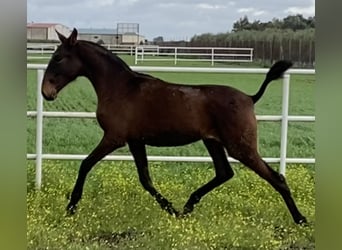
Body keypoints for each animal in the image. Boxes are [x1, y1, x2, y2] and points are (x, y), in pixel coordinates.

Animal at [41, 28, 306, 225]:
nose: (46, 92)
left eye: (58, 57)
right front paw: (171, 209)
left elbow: (85, 164)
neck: (120, 88)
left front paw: (71, 207)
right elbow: (145, 179)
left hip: (241, 147)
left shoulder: (114, 138)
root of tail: (250, 98)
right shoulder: (135, 141)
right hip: (213, 143)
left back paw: (300, 219)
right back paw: (187, 207)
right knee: (224, 172)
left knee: (276, 177)